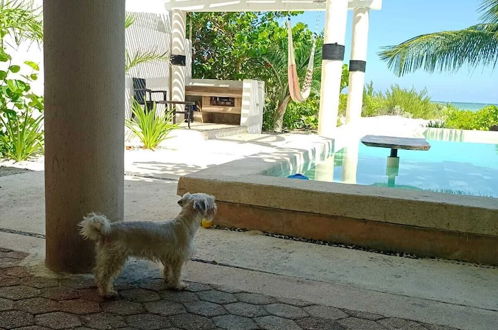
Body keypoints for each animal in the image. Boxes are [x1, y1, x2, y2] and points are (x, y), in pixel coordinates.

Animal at [80, 192, 216, 298]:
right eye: (210, 200)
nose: (215, 206)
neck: (184, 223)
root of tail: (108, 230)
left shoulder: (169, 257)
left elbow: (168, 270)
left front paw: (168, 280)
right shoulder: (178, 258)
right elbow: (177, 273)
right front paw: (178, 285)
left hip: (106, 257)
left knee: (98, 271)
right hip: (114, 258)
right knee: (104, 275)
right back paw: (106, 292)